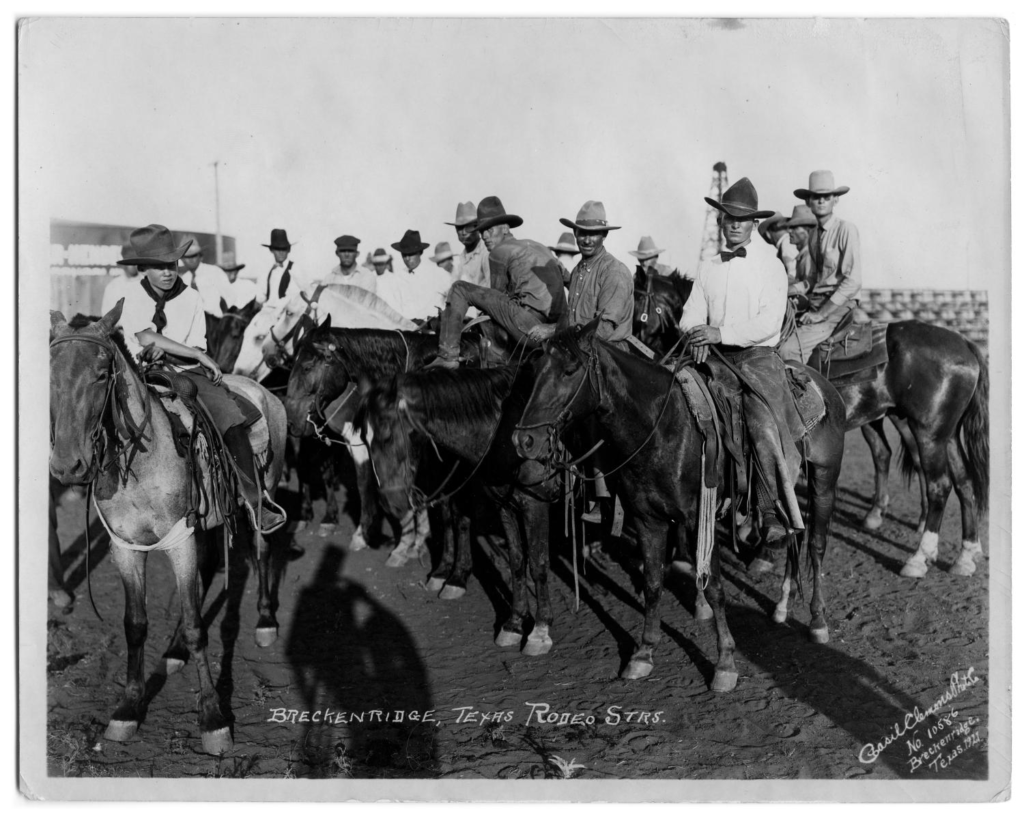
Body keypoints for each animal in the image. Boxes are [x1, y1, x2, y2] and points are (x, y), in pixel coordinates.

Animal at [48, 303, 288, 753]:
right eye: (50, 372)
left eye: (103, 373)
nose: (68, 466)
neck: (142, 462)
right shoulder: (126, 546)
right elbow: (135, 624)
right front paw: (128, 709)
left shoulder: (180, 540)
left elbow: (197, 627)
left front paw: (213, 719)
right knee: (209, 568)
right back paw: (174, 651)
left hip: (265, 490)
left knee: (263, 547)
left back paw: (266, 621)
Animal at [360, 364, 565, 651]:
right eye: (364, 439)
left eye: (387, 435)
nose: (390, 503)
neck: (503, 430)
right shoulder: (503, 504)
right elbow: (515, 559)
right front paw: (514, 623)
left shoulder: (535, 505)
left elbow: (538, 562)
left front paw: (540, 629)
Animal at [516, 319, 843, 683]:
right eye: (535, 369)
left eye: (570, 370)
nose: (524, 440)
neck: (663, 428)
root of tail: (820, 383)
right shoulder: (647, 519)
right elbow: (653, 582)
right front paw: (644, 653)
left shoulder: (701, 516)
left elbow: (715, 588)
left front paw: (725, 663)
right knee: (793, 538)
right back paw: (783, 606)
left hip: (824, 480)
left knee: (815, 545)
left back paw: (817, 621)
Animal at [630, 272, 991, 577]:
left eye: (638, 307)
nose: (633, 347)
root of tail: (966, 344)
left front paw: (761, 548)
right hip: (938, 431)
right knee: (961, 481)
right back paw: (964, 555)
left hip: (927, 430)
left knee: (937, 484)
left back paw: (918, 556)